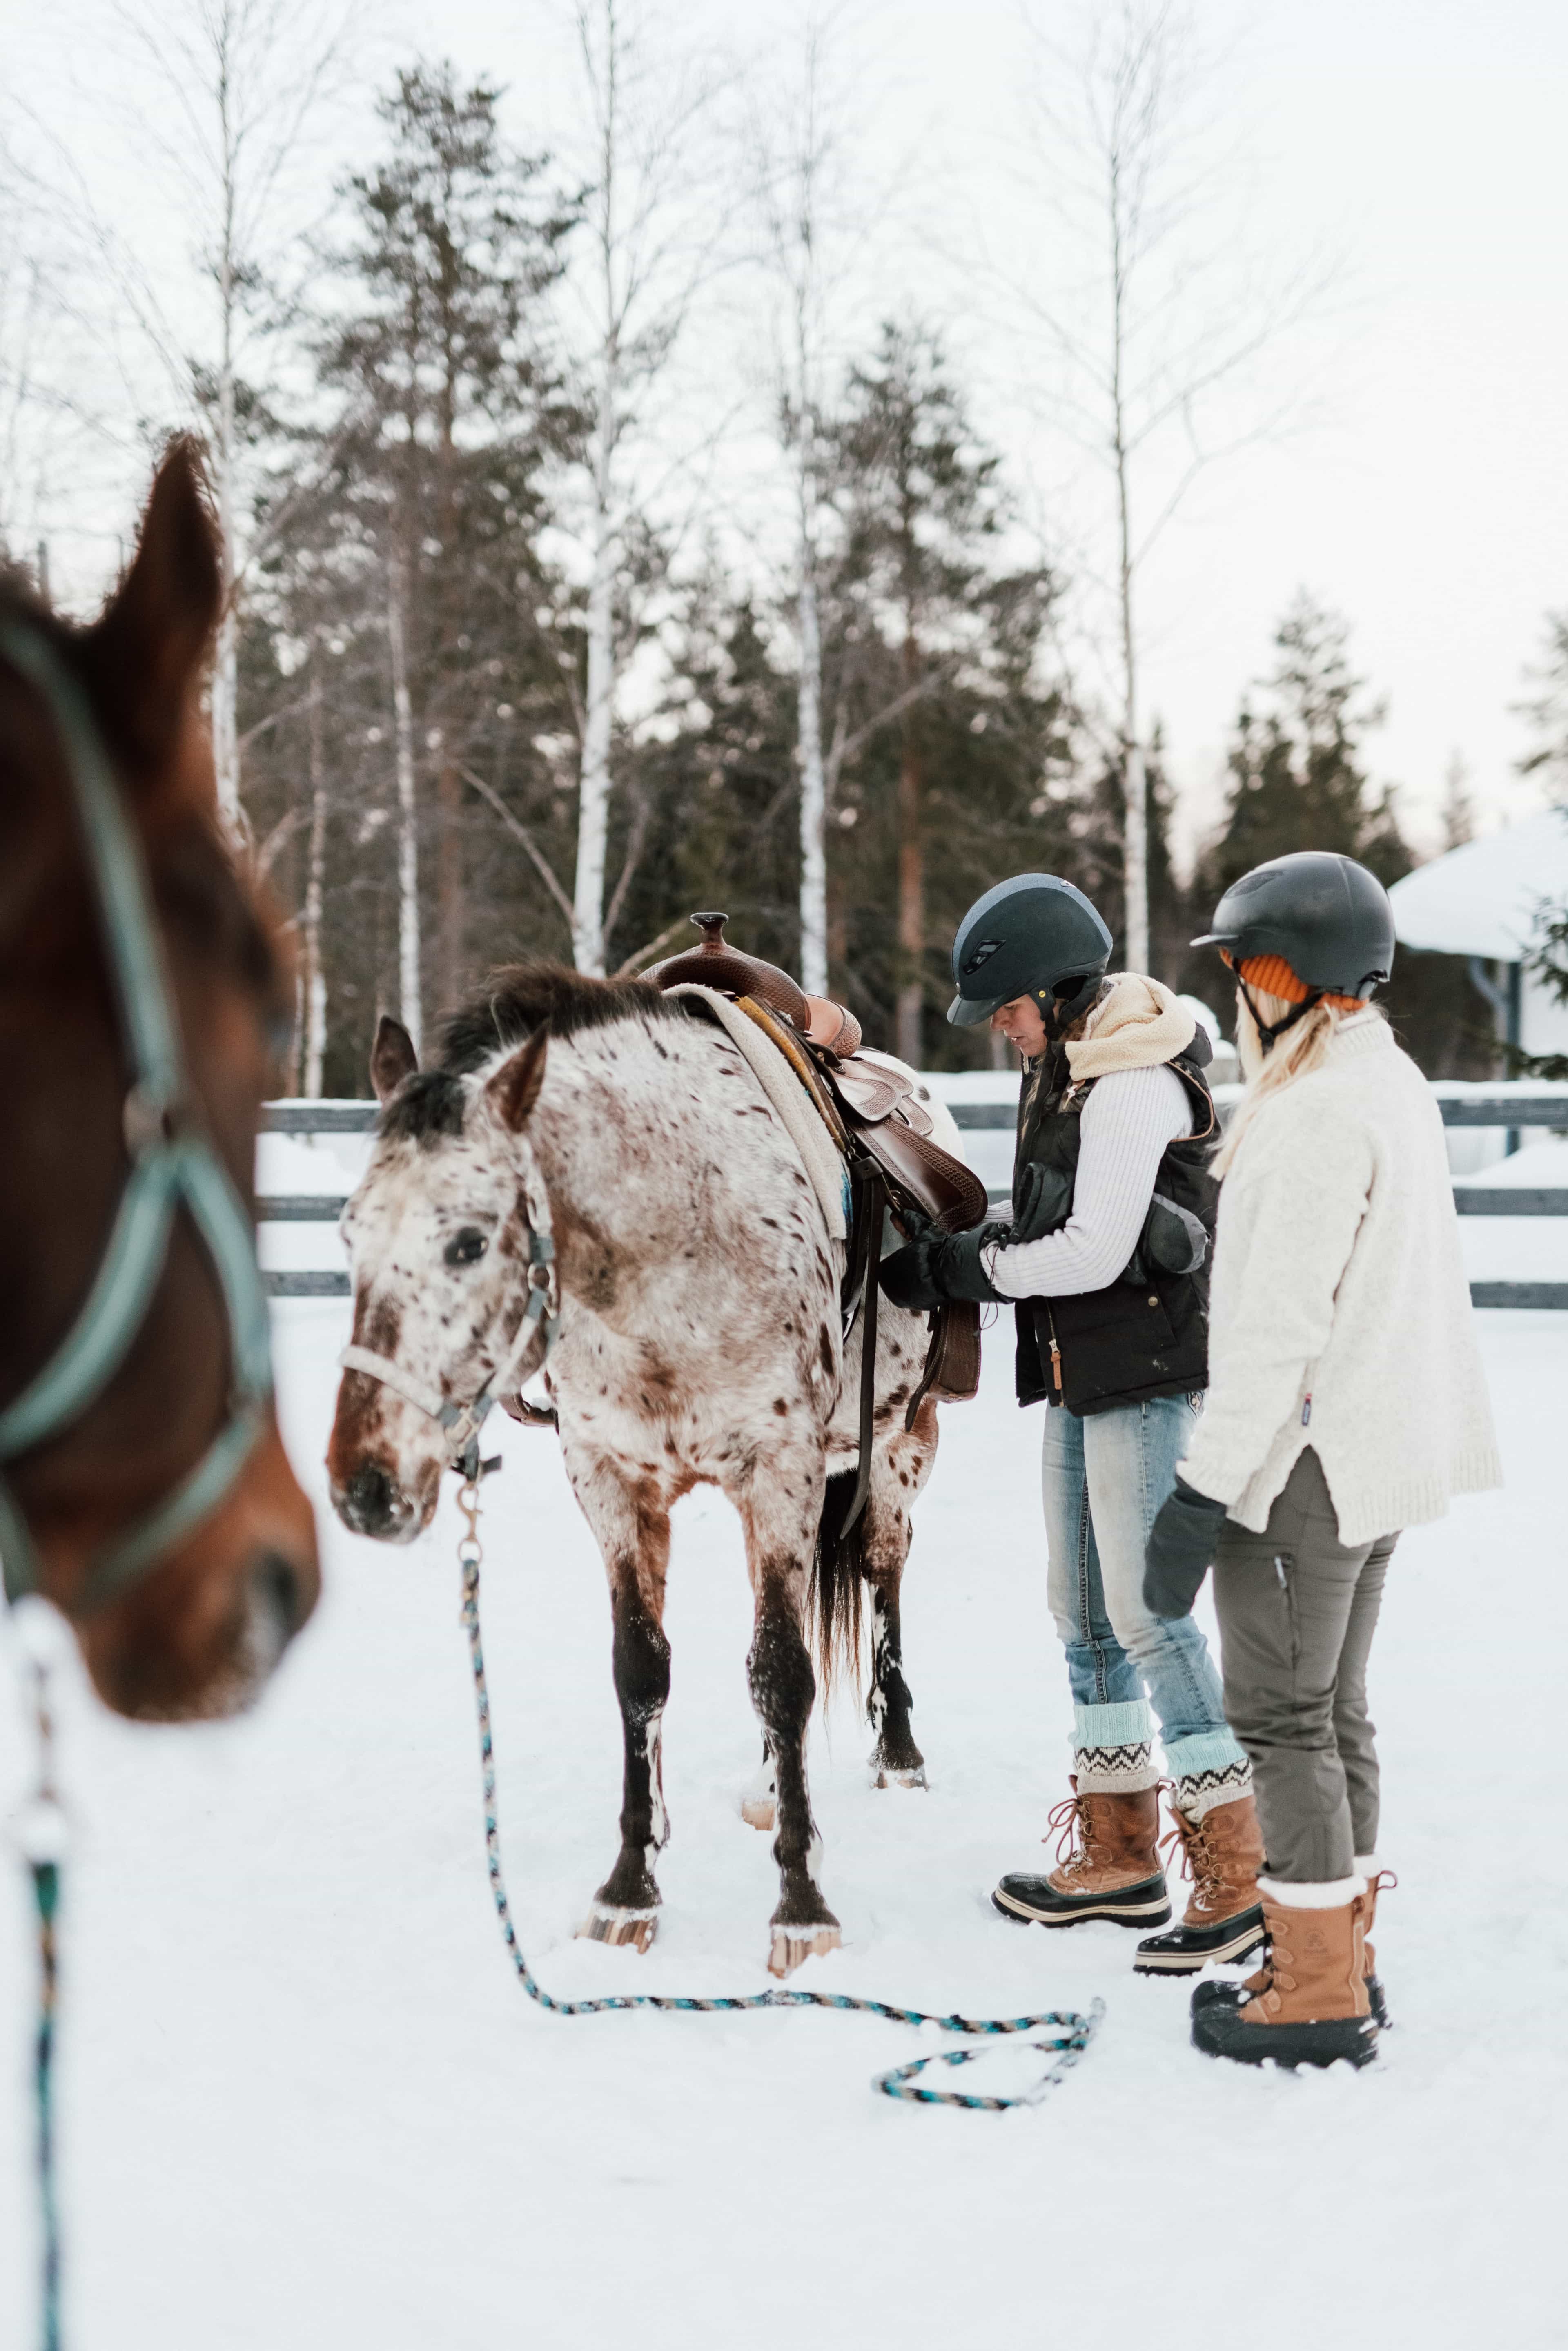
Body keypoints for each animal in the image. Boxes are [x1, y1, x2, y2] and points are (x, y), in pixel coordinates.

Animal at [329, 964, 945, 1974]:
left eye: (467, 1241)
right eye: (348, 1234)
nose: (363, 1486)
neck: (676, 1240)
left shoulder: (779, 1472)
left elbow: (785, 1672)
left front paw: (801, 1905)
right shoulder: (611, 1481)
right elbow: (642, 1672)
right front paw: (630, 1886)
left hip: (898, 1448)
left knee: (882, 1577)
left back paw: (898, 1750)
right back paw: (773, 1784)